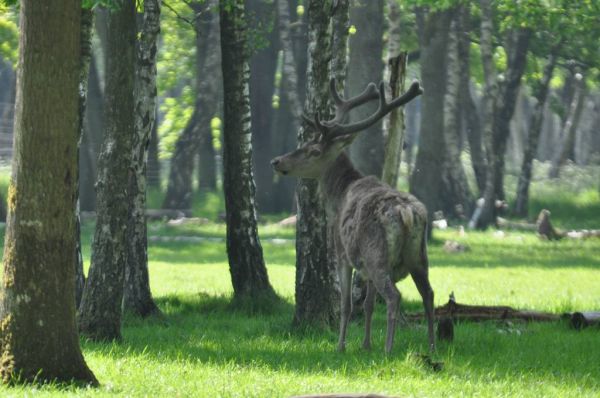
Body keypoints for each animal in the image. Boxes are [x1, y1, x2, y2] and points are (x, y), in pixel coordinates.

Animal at [270, 79, 434, 352]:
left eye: (313, 150)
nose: (277, 161)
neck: (337, 198)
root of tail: (406, 212)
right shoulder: (364, 265)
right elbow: (368, 304)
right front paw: (366, 344)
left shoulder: (342, 252)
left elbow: (346, 304)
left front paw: (341, 345)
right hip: (419, 256)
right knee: (429, 294)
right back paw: (432, 346)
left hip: (377, 253)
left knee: (394, 296)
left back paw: (389, 349)